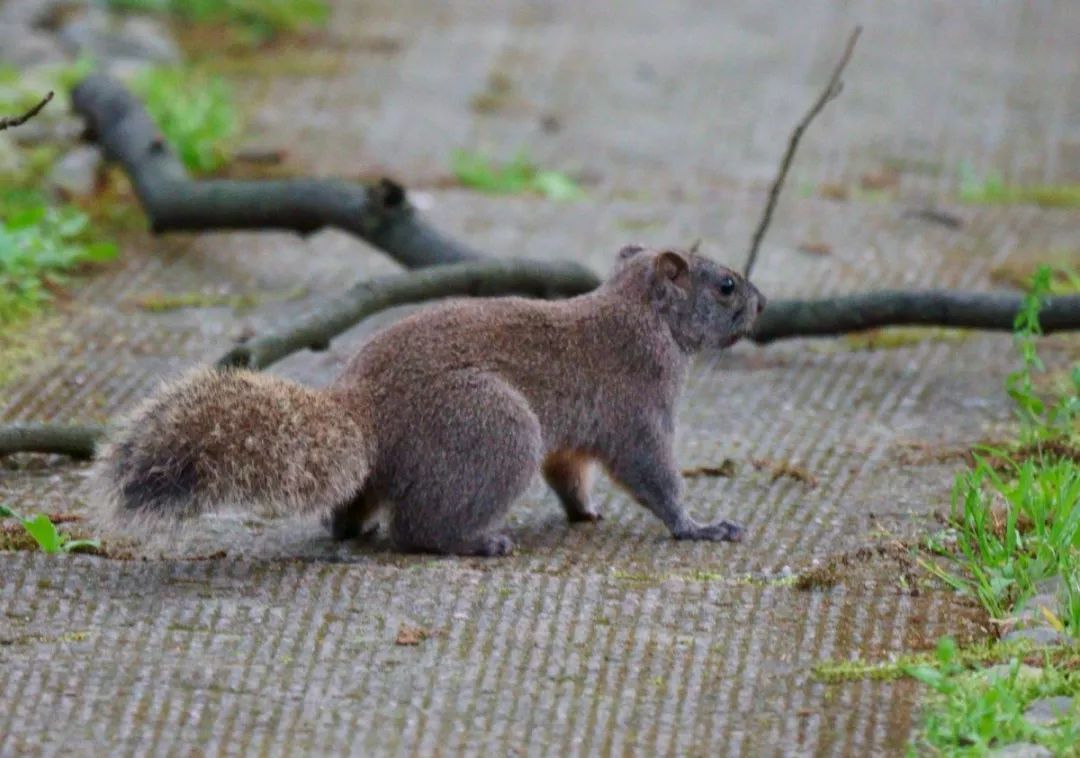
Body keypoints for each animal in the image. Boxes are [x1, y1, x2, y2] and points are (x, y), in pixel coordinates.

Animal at [95, 246, 768, 557]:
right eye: (725, 284)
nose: (762, 304)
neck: (637, 311)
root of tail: (364, 410)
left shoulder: (574, 440)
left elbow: (570, 475)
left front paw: (585, 512)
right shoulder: (637, 406)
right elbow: (654, 475)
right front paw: (700, 526)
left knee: (349, 512)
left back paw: (350, 526)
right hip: (496, 428)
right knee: (419, 529)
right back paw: (478, 542)